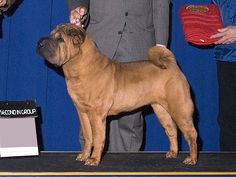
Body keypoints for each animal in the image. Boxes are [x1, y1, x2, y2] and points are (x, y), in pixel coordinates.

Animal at [37, 23, 198, 166]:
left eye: (60, 39)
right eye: (51, 34)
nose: (40, 42)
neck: (80, 68)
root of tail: (171, 65)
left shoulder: (97, 114)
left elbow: (98, 137)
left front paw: (94, 160)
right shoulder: (82, 112)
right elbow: (88, 136)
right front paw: (84, 155)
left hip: (179, 108)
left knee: (191, 133)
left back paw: (191, 159)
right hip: (161, 109)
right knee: (172, 129)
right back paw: (173, 152)